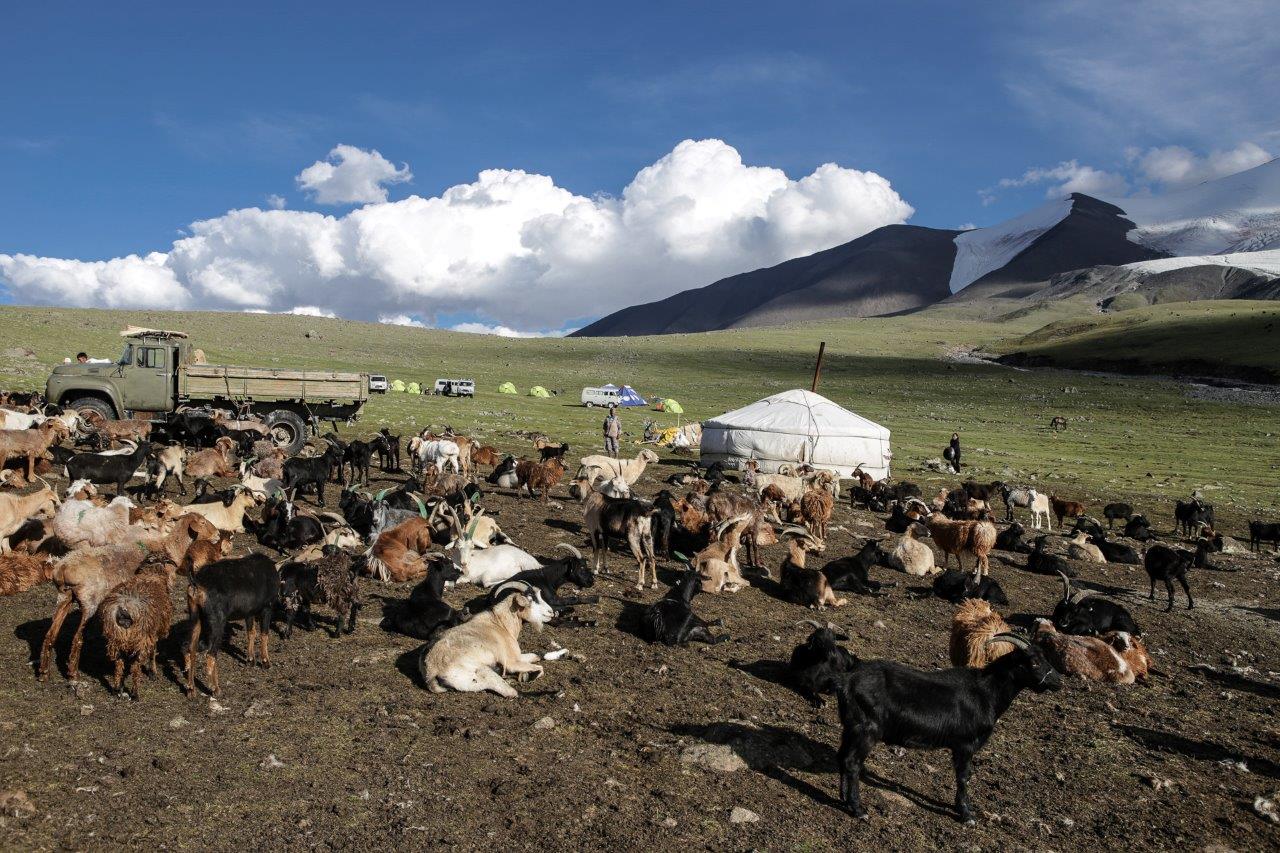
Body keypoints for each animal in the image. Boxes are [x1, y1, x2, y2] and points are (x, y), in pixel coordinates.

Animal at [99, 558, 174, 696]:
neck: (152, 575)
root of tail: (124, 608)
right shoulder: (152, 633)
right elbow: (153, 652)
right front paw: (153, 672)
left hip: (116, 639)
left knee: (118, 665)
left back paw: (117, 688)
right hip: (141, 640)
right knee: (136, 667)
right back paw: (135, 693)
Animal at [417, 584, 552, 696]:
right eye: (531, 599)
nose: (551, 612)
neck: (501, 624)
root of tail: (431, 673)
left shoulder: (518, 657)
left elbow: (535, 656)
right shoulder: (511, 662)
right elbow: (540, 668)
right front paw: (526, 676)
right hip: (481, 673)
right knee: (511, 692)